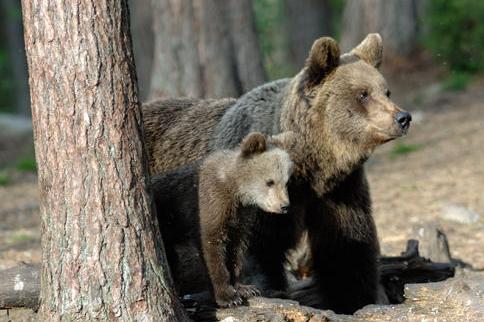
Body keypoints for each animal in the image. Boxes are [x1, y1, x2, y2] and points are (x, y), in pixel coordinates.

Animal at [145, 34, 412, 314]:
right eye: (363, 93)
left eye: (386, 91)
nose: (403, 117)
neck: (312, 166)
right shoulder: (259, 196)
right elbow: (259, 249)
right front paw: (269, 290)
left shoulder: (340, 191)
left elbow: (347, 247)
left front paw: (354, 298)